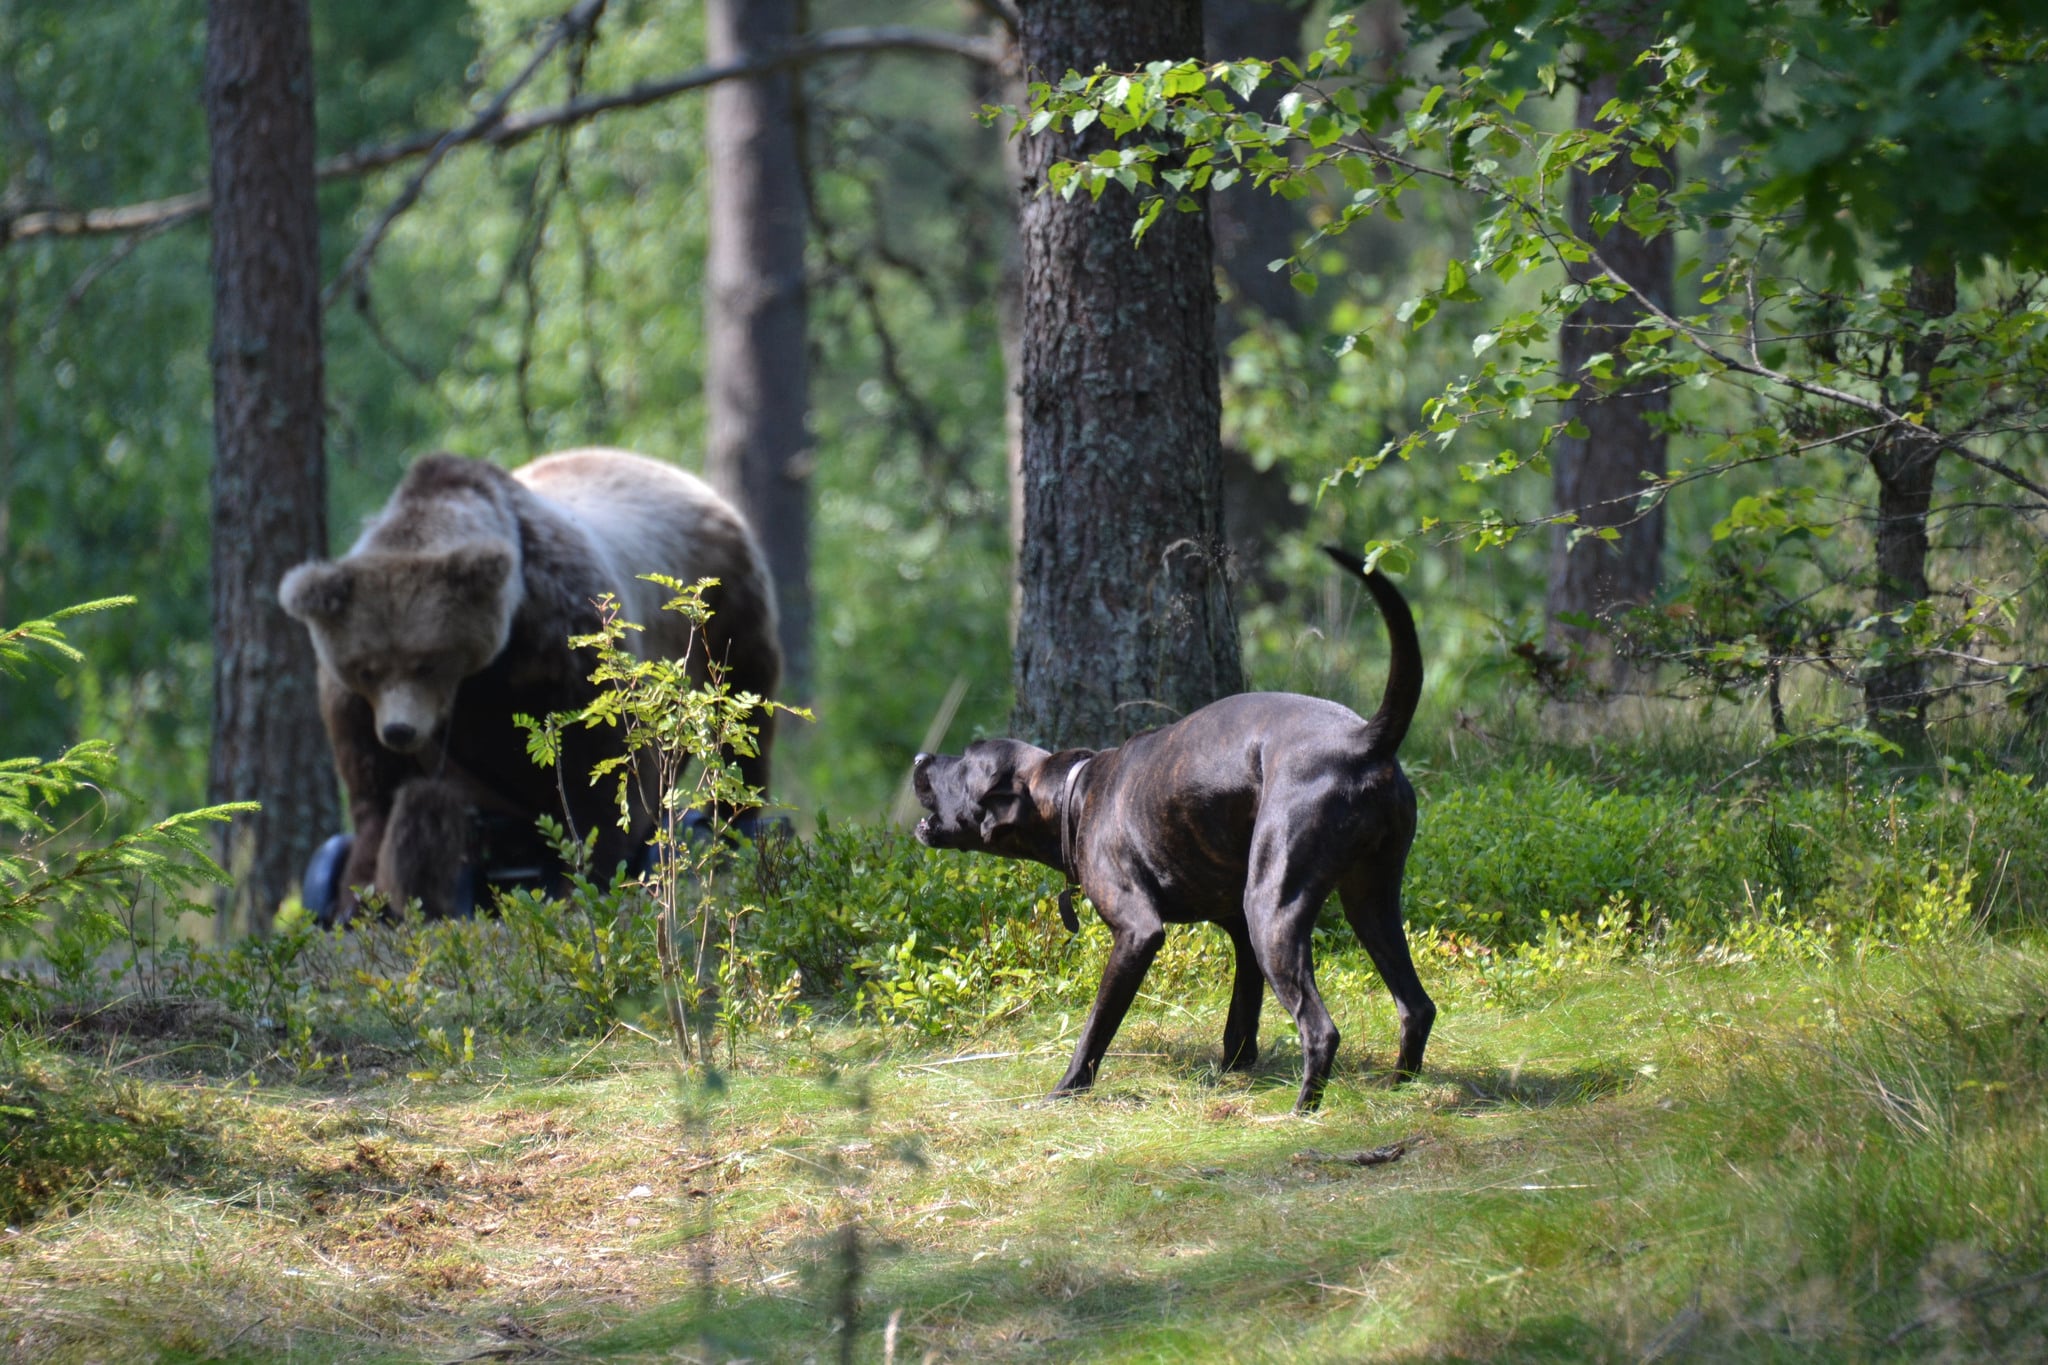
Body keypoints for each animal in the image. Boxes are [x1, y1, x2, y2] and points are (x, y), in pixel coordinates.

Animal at [280, 454, 774, 925]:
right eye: (368, 669)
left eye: (428, 662)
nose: (401, 731)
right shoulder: (355, 707)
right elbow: (379, 798)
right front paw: (359, 900)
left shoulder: (560, 639)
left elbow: (600, 771)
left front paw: (583, 879)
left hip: (719, 602)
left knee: (741, 707)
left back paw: (733, 817)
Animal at [921, 544, 1433, 1113]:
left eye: (965, 761)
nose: (921, 758)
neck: (1074, 794)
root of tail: (1363, 740)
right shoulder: (1238, 932)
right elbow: (1240, 1019)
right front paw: (1233, 1070)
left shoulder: (1139, 933)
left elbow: (1096, 1026)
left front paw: (1067, 1088)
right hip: (1368, 902)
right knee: (1416, 1006)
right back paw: (1401, 1087)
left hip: (1274, 911)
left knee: (1321, 1030)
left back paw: (1302, 1112)